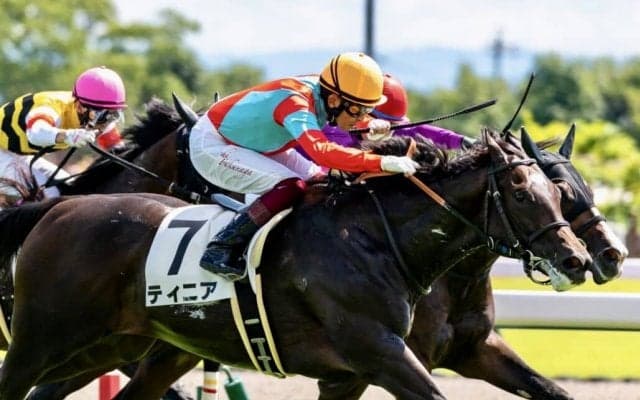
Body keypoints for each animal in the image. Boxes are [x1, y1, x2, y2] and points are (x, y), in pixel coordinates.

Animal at [10, 103, 622, 399]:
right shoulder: (383, 355)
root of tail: (58, 211)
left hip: (126, 347)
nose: (589, 259)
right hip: (44, 340)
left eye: (563, 192)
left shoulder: (383, 368)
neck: (378, 242)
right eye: (526, 192)